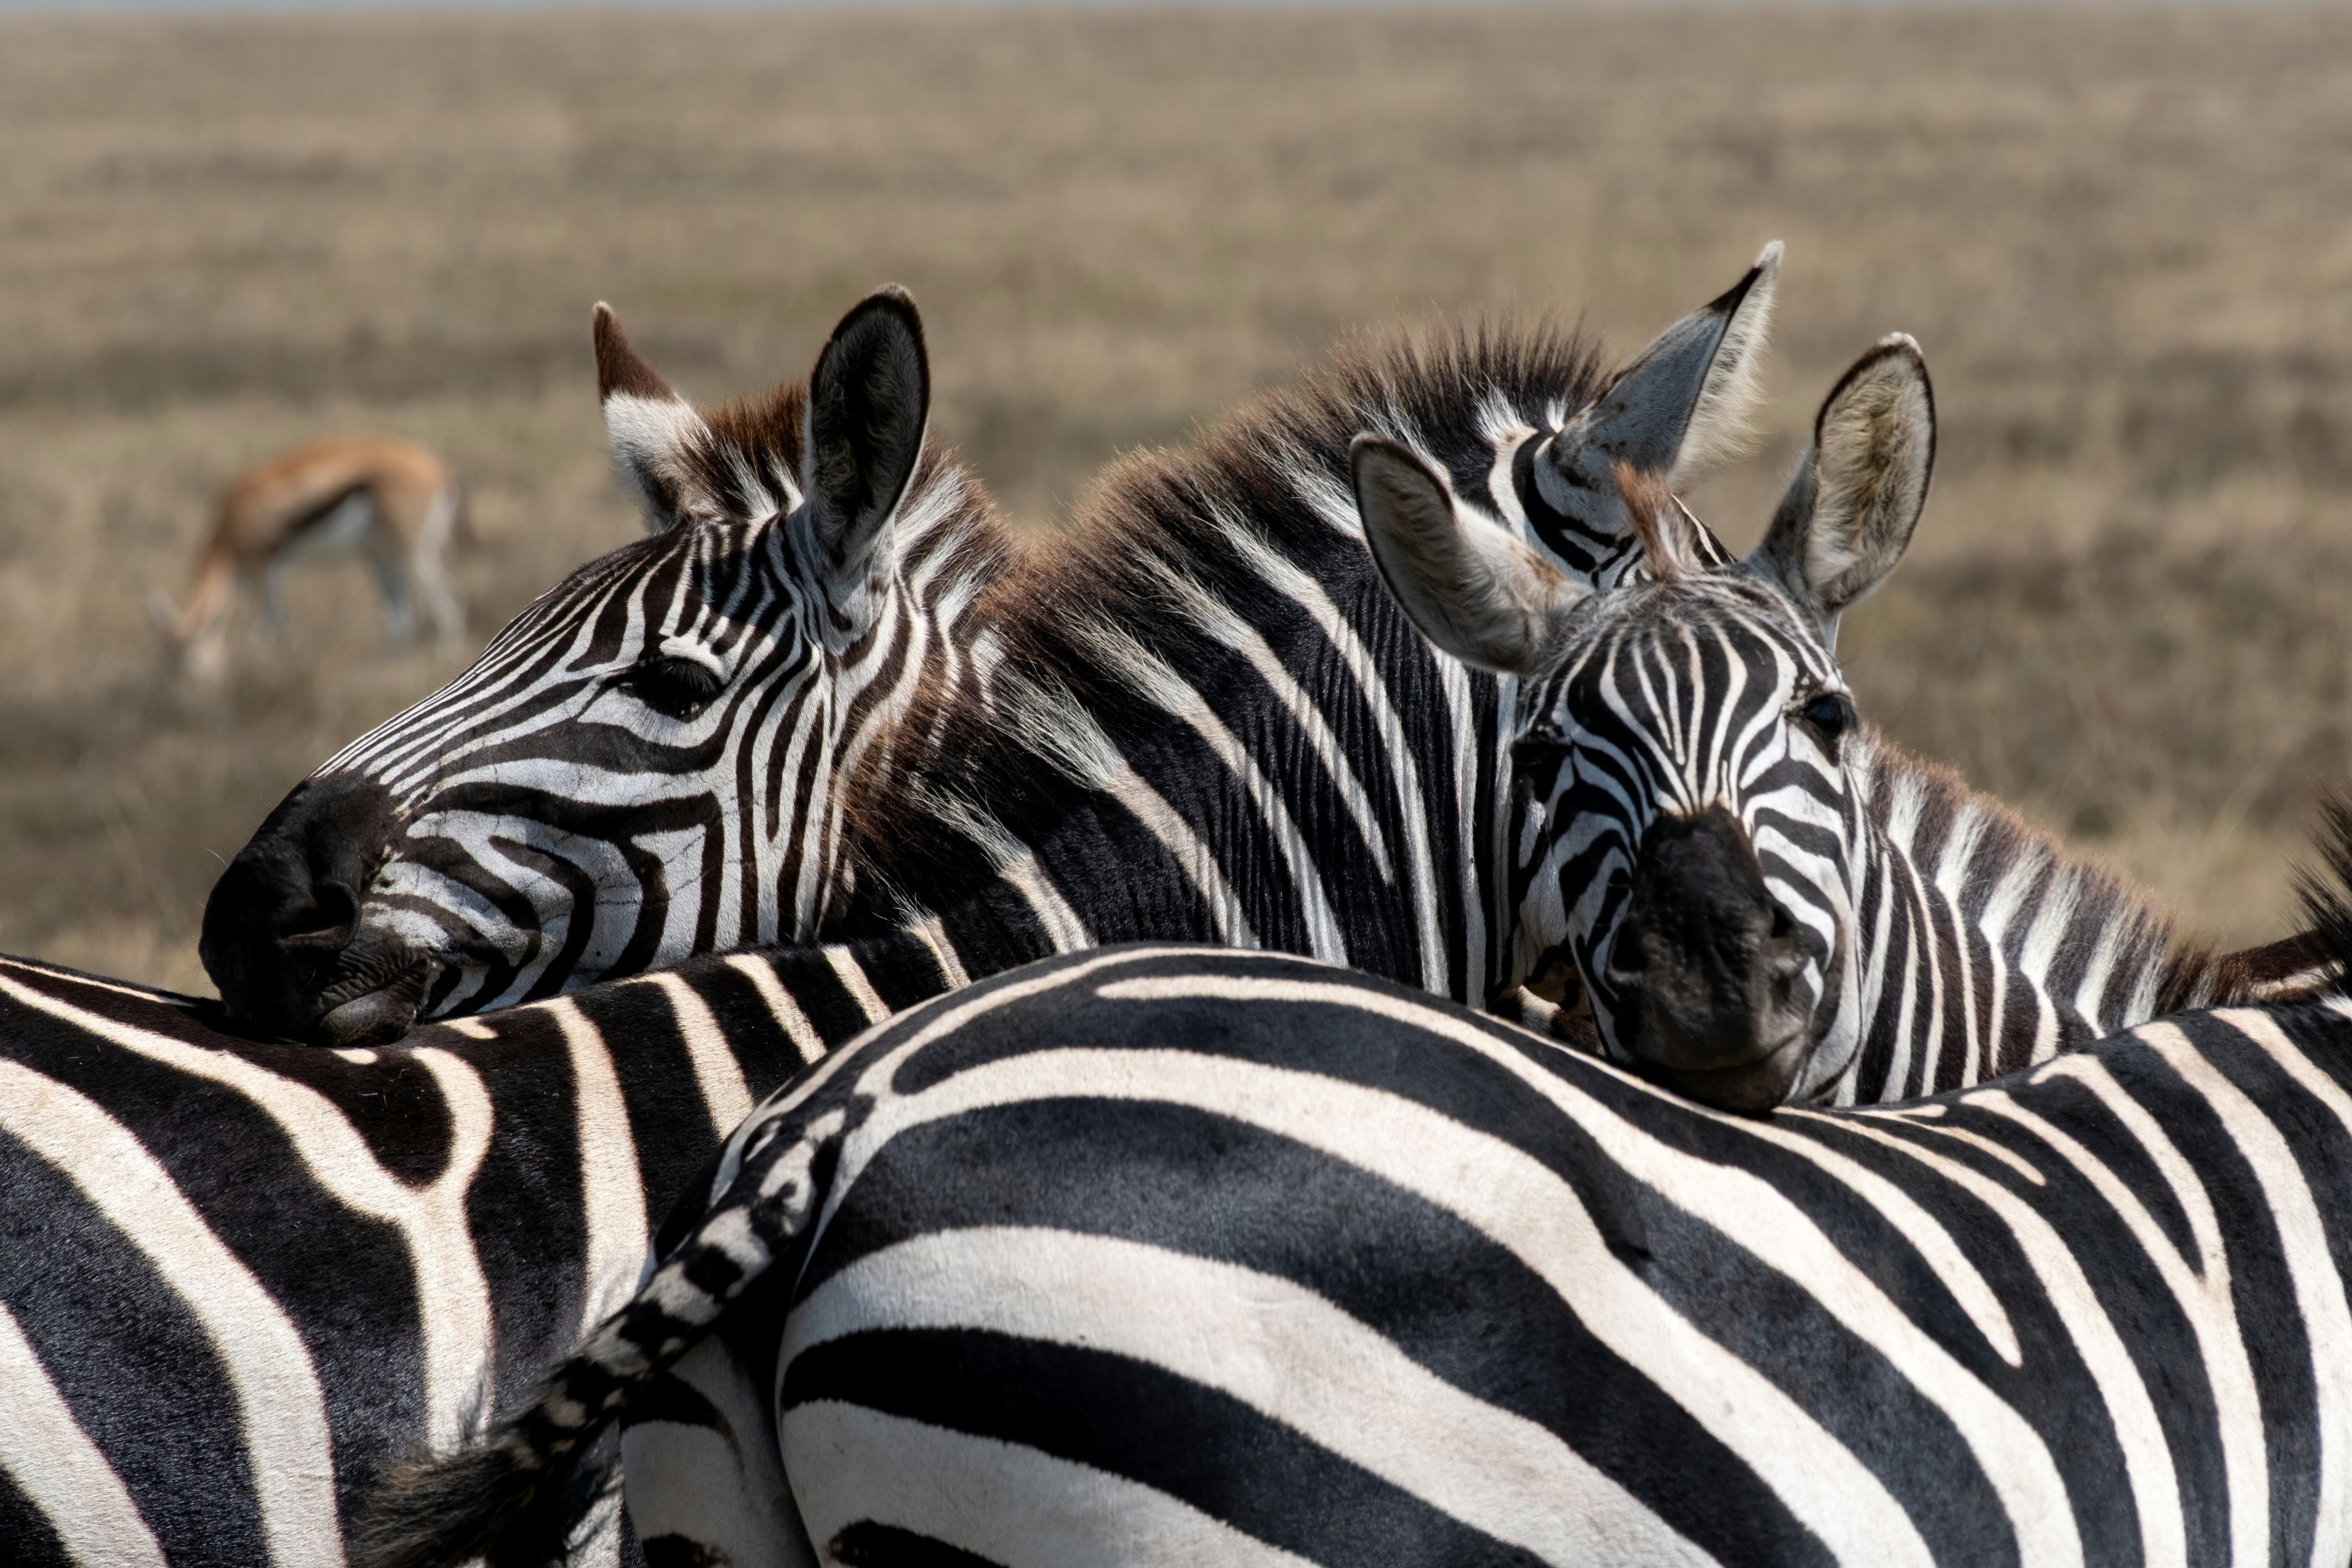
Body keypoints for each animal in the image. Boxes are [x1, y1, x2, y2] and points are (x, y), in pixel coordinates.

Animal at [151, 434, 468, 677]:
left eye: (188, 655)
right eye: (168, 657)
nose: (194, 690)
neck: (230, 525)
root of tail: (440, 470)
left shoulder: (269, 573)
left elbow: (269, 627)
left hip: (413, 559)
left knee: (448, 606)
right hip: (381, 559)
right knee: (402, 620)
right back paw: (379, 672)